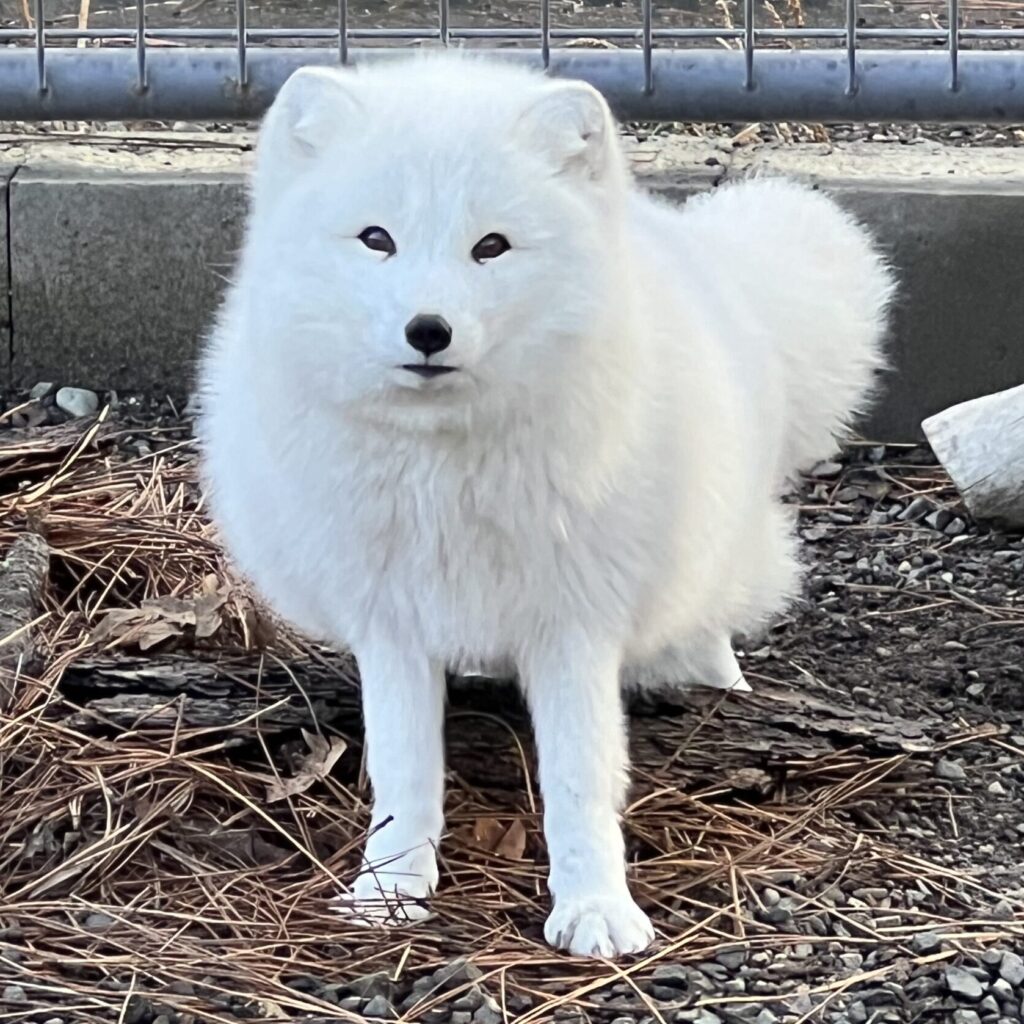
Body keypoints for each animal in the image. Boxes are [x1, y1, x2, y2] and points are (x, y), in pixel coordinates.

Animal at [199, 53, 894, 958]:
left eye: (490, 246)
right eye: (377, 239)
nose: (429, 330)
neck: (445, 472)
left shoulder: (575, 625)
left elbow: (578, 776)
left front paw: (596, 907)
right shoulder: (392, 623)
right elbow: (403, 770)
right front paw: (391, 889)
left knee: (711, 627)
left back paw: (721, 685)